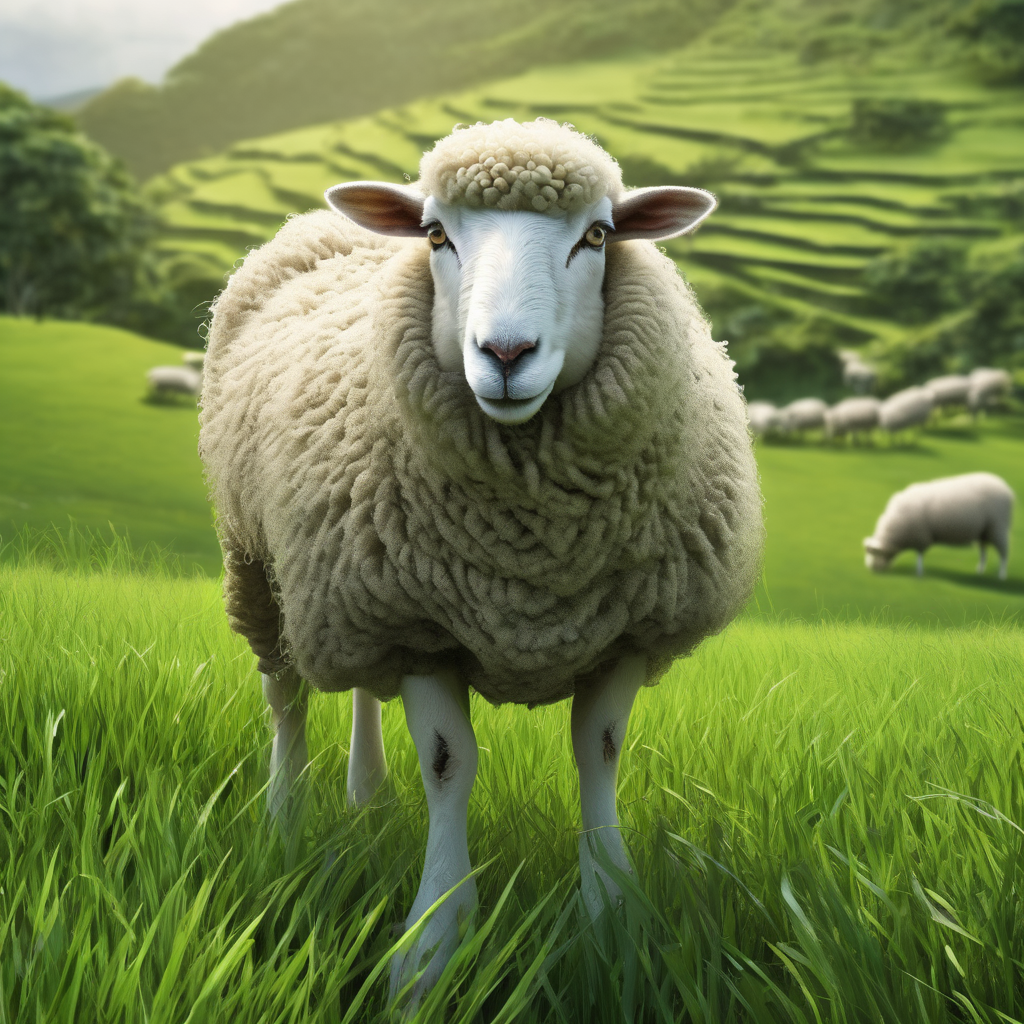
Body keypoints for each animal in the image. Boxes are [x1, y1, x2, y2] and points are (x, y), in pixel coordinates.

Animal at [198, 117, 764, 1010]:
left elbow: (599, 753)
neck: (533, 552)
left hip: (354, 591)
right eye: (437, 235)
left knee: (360, 692)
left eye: (597, 236)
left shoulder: (625, 629)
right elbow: (448, 764)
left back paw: (367, 799)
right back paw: (284, 823)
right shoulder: (420, 625)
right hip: (263, 563)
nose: (505, 352)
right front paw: (429, 950)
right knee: (284, 697)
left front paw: (611, 917)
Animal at [864, 472, 1014, 579]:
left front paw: (919, 573)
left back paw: (1002, 576)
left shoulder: (921, 536)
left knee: (1004, 554)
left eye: (874, 553)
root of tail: (1007, 490)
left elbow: (919, 556)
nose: (871, 569)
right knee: (984, 553)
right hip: (984, 533)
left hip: (999, 528)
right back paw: (979, 571)